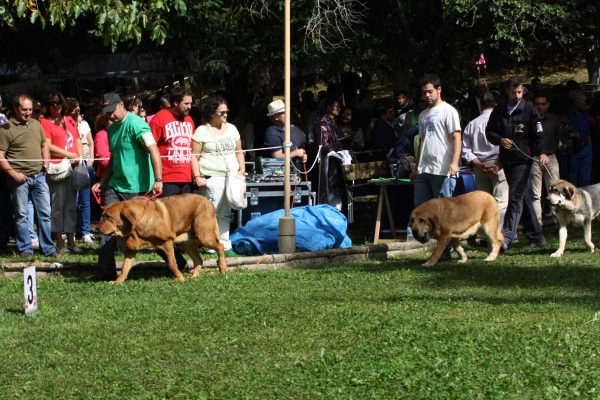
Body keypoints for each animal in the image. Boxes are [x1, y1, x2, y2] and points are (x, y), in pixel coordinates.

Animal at [98, 194, 227, 284]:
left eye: (108, 217)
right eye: (103, 216)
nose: (97, 228)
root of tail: (208, 201)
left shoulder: (167, 243)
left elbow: (172, 263)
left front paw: (179, 278)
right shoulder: (131, 250)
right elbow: (125, 267)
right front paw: (118, 281)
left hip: (204, 236)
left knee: (220, 246)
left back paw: (223, 268)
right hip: (188, 244)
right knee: (198, 260)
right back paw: (195, 276)